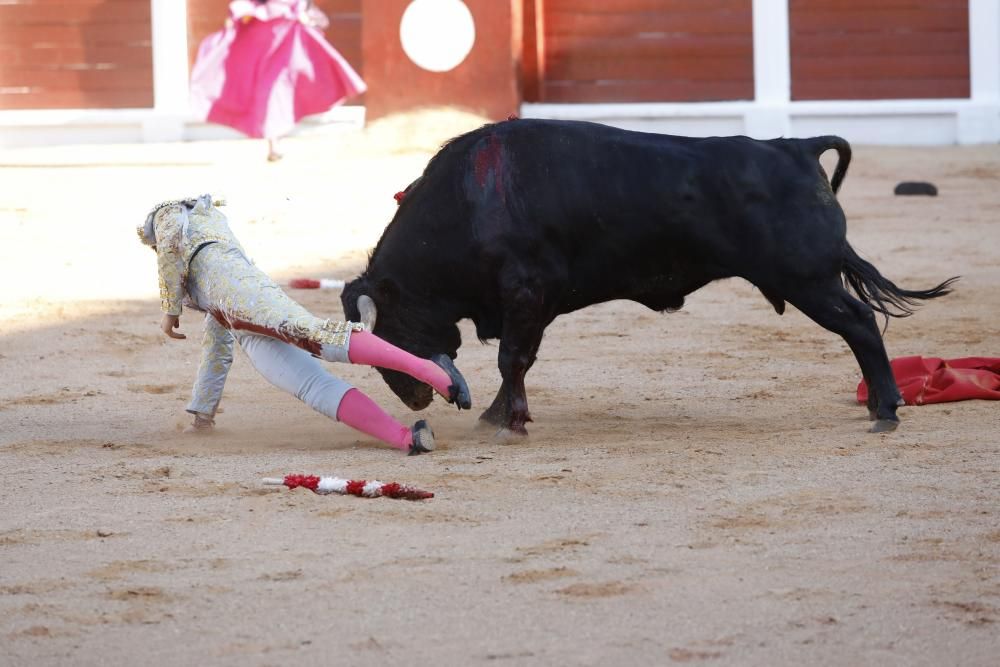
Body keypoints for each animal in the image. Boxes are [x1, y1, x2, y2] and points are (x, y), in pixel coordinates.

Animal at [342, 118, 952, 436]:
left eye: (388, 332)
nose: (414, 400)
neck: (469, 205)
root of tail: (795, 147)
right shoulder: (527, 304)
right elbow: (518, 360)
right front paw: (502, 415)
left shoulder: (526, 294)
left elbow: (512, 358)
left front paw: (505, 420)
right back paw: (880, 406)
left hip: (808, 279)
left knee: (860, 323)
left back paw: (886, 410)